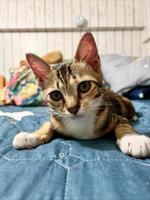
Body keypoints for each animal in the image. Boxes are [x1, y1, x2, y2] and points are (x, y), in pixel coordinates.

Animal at [12, 32, 150, 158]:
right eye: (56, 95)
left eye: (84, 86)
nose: (73, 108)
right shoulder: (55, 118)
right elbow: (48, 124)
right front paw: (31, 135)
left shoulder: (116, 116)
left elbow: (123, 123)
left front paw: (133, 139)